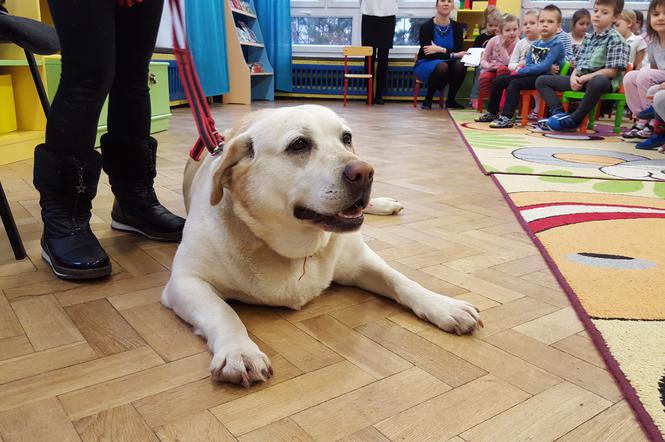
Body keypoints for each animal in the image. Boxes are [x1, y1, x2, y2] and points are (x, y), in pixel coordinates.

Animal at [162, 104, 482, 386]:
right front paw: (239, 352)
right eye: (298, 144)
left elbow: (401, 281)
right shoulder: (185, 282)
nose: (365, 172)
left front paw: (443, 305)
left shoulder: (361, 260)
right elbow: (224, 312)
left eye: (347, 138)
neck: (298, 249)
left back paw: (384, 204)